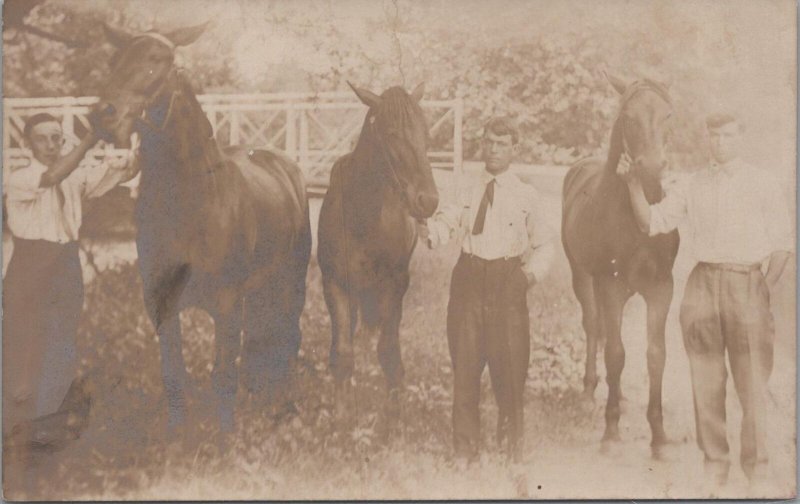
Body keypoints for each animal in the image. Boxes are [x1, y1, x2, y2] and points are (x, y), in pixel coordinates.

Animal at [90, 23, 310, 432]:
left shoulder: (226, 300)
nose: (102, 114)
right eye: (113, 61)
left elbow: (222, 374)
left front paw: (226, 437)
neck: (189, 204)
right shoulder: (160, 303)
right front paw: (178, 435)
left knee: (289, 335)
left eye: (158, 60)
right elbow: (174, 373)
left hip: (293, 279)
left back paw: (283, 403)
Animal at [316, 81, 438, 422]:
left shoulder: (396, 284)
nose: (428, 200)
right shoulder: (334, 284)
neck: (362, 217)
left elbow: (389, 350)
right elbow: (342, 352)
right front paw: (342, 415)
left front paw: (394, 414)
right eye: (392, 132)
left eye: (425, 132)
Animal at [560, 74, 680, 456]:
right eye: (628, 117)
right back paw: (588, 392)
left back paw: (622, 396)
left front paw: (659, 436)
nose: (652, 170)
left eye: (668, 115)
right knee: (593, 327)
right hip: (583, 277)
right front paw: (611, 431)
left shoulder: (661, 287)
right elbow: (614, 352)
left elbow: (656, 355)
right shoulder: (609, 284)